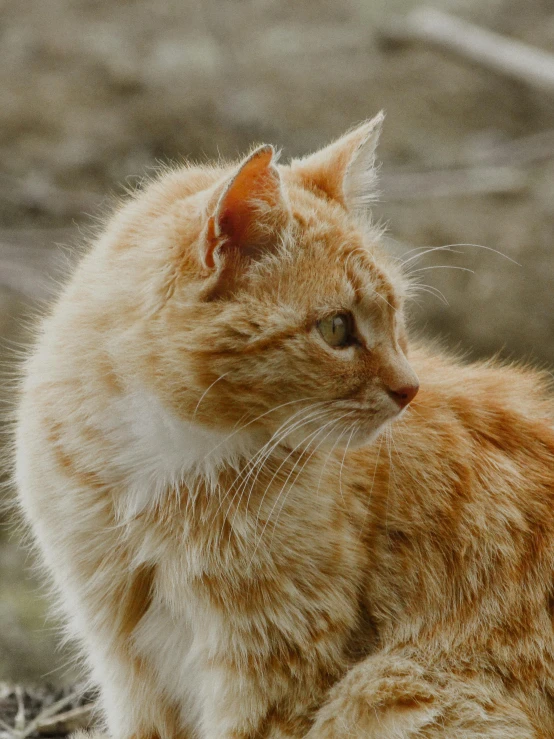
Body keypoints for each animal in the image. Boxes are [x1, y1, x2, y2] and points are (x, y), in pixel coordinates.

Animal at [14, 112, 554, 736]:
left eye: (396, 315)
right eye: (338, 329)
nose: (409, 389)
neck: (165, 470)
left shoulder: (273, 661)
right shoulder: (123, 664)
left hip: (386, 686)